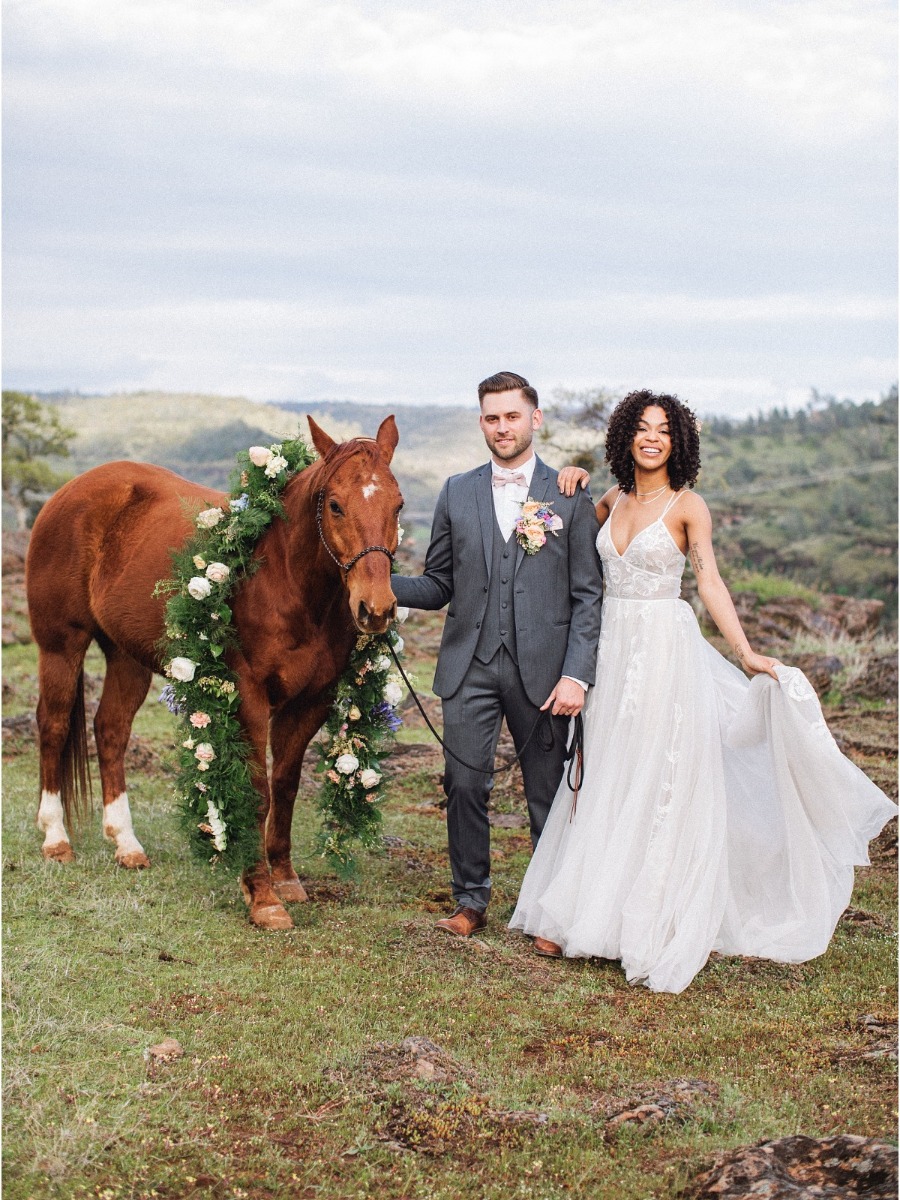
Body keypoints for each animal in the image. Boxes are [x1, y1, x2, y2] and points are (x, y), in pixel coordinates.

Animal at [26, 417, 403, 931]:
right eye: (335, 505)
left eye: (398, 504)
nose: (375, 609)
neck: (286, 582)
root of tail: (68, 493)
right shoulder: (250, 697)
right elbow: (258, 791)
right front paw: (262, 895)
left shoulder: (312, 701)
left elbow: (285, 787)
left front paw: (285, 878)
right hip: (60, 647)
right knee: (54, 725)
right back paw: (56, 838)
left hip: (126, 658)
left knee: (111, 731)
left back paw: (126, 843)